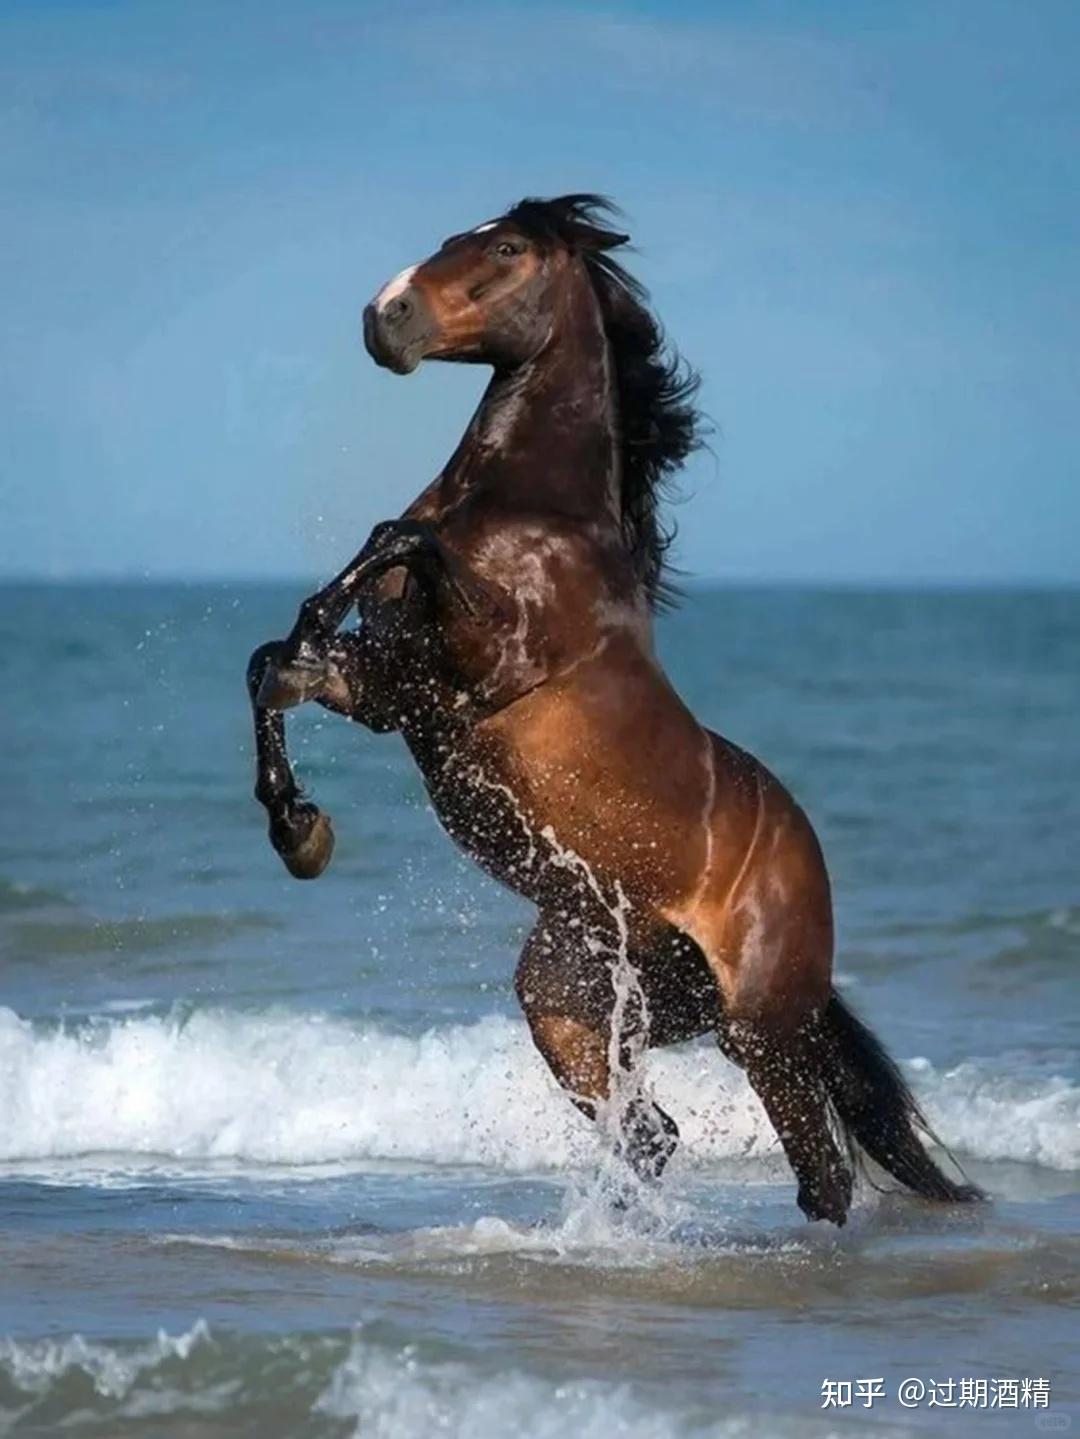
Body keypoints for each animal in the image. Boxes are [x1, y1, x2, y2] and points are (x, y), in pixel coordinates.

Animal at [247, 194, 980, 1225]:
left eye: (507, 246)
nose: (383, 316)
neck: (534, 514)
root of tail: (809, 879)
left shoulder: (484, 663)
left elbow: (397, 538)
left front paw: (300, 810)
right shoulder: (396, 692)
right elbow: (273, 663)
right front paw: (297, 826)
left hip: (761, 1031)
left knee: (819, 1172)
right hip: (573, 995)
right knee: (652, 1133)